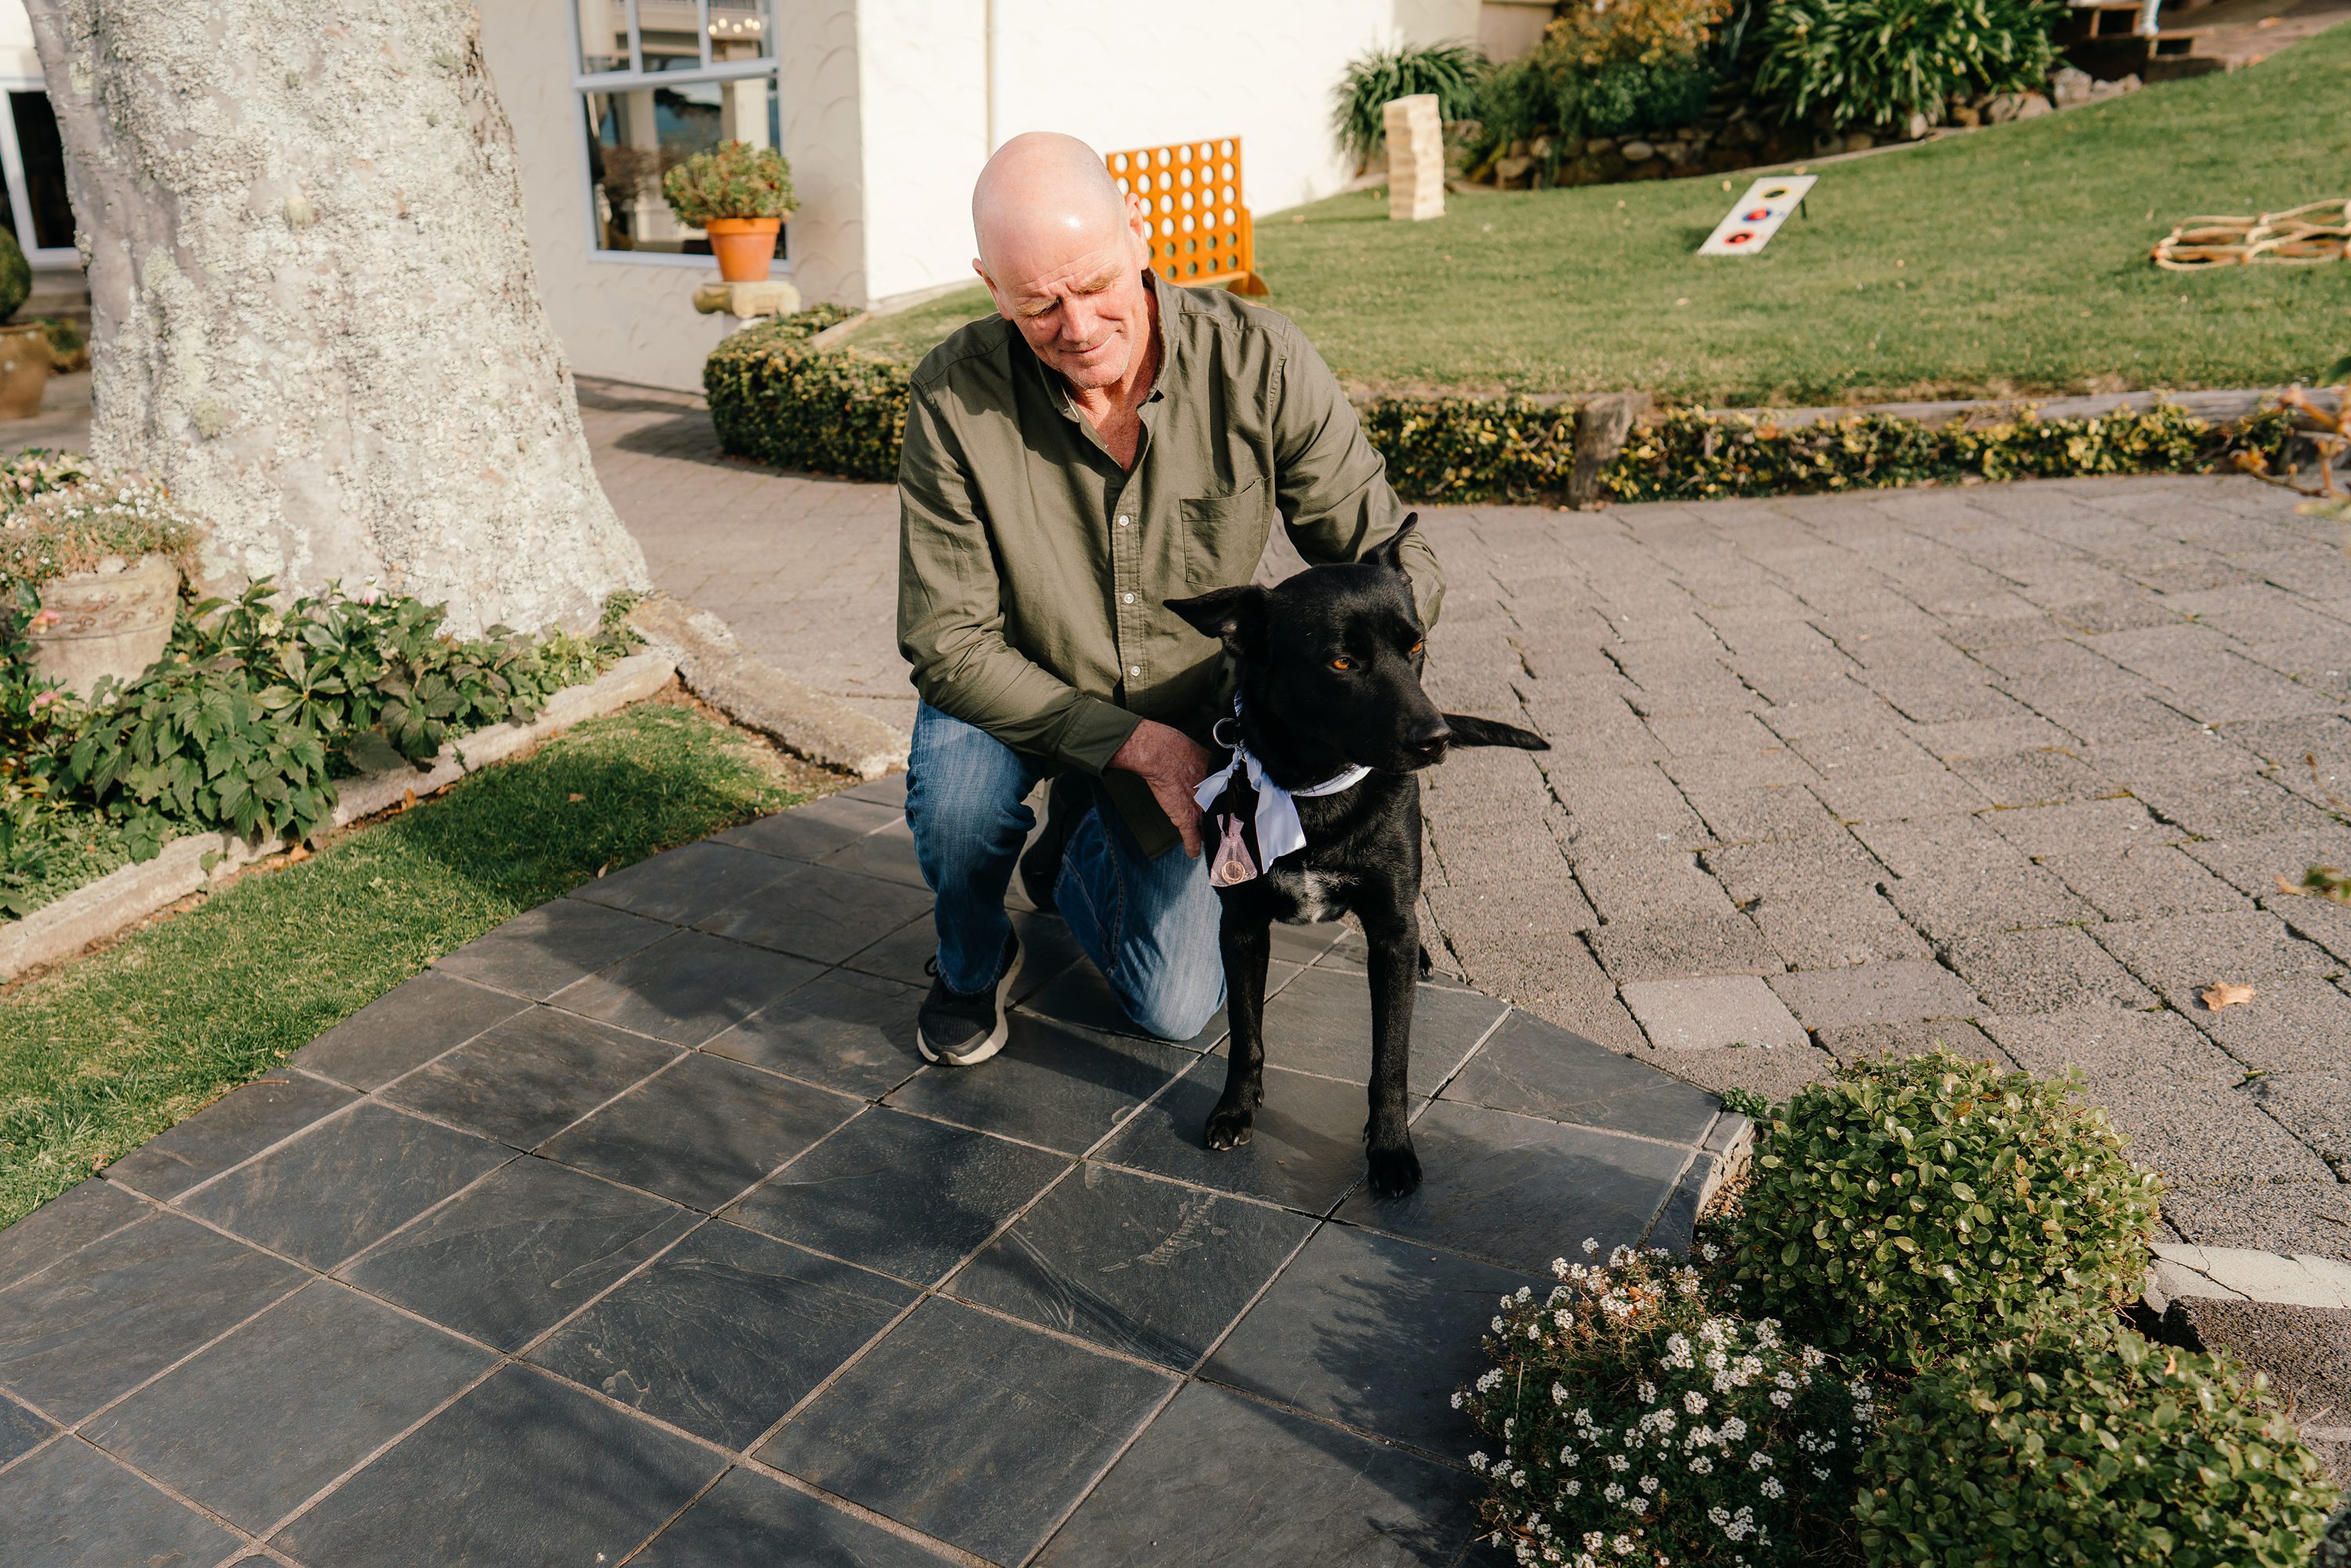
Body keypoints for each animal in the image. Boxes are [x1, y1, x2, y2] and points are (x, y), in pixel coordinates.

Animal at [1171, 522, 1542, 1194]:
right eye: (1343, 661)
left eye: (1417, 644)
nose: (1438, 738)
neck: (1316, 794)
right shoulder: (1240, 925)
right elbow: (1245, 1034)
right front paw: (1236, 1109)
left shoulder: (1390, 924)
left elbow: (1390, 1059)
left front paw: (1390, 1148)